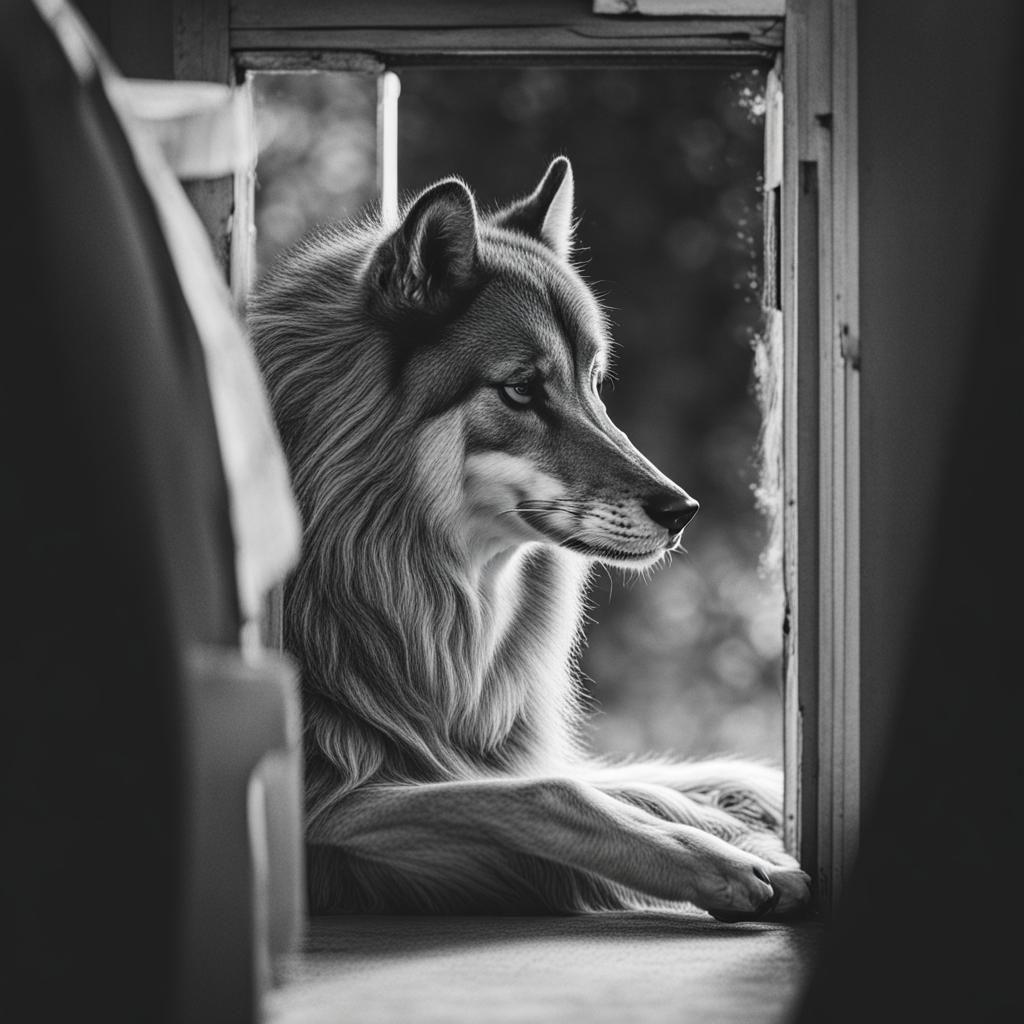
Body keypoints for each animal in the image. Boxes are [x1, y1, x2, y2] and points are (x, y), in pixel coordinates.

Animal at [249, 156, 810, 920]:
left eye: (593, 382)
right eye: (521, 389)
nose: (682, 510)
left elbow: (652, 784)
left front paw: (751, 819)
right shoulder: (328, 809)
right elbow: (553, 791)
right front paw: (730, 862)